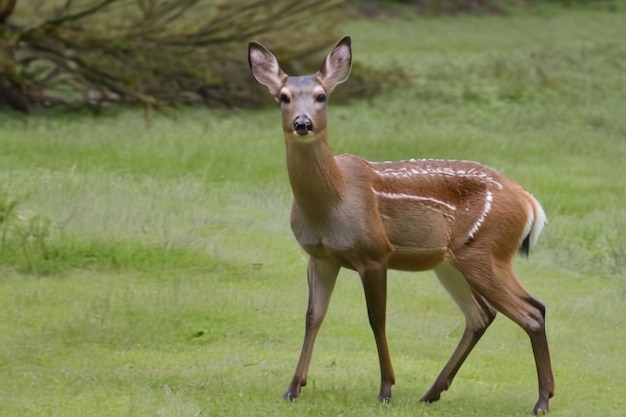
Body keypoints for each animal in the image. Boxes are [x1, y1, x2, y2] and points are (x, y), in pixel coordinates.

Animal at [246, 35, 552, 412]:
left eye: (322, 96)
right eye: (283, 97)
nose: (302, 123)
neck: (333, 202)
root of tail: (529, 202)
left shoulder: (375, 253)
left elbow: (376, 319)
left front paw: (386, 388)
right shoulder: (320, 256)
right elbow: (313, 316)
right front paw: (292, 388)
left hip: (486, 251)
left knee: (532, 311)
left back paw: (542, 401)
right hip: (452, 261)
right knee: (482, 315)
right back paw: (431, 393)